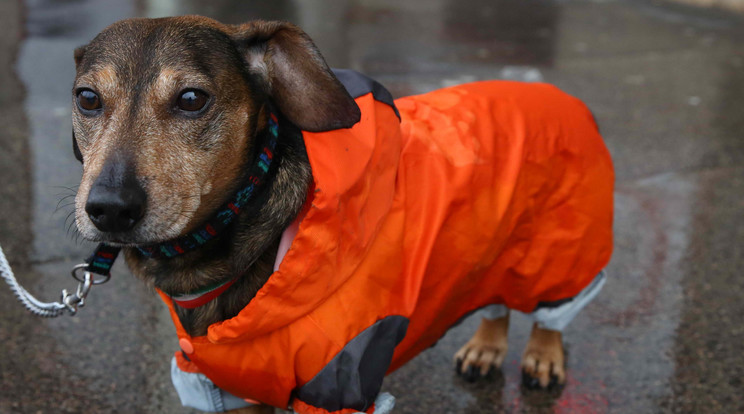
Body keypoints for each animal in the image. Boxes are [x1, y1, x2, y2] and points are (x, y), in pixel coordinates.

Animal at [72, 14, 612, 412]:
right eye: (87, 98)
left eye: (191, 99)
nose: (110, 209)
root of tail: (559, 94)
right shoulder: (226, 387)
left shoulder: (337, 382)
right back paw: (488, 345)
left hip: (562, 249)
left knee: (550, 315)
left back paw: (542, 355)